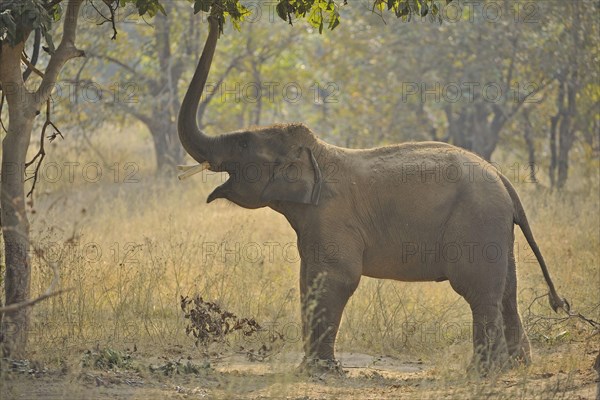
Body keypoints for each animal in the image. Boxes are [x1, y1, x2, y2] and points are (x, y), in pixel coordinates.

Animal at [177, 14, 568, 372]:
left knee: (478, 289)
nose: (213, 17)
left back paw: (484, 372)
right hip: (495, 226)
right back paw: (516, 366)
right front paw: (309, 368)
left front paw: (320, 371)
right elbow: (308, 280)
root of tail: (503, 178)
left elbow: (335, 277)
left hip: (476, 222)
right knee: (507, 291)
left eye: (243, 144)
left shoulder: (333, 216)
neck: (319, 153)